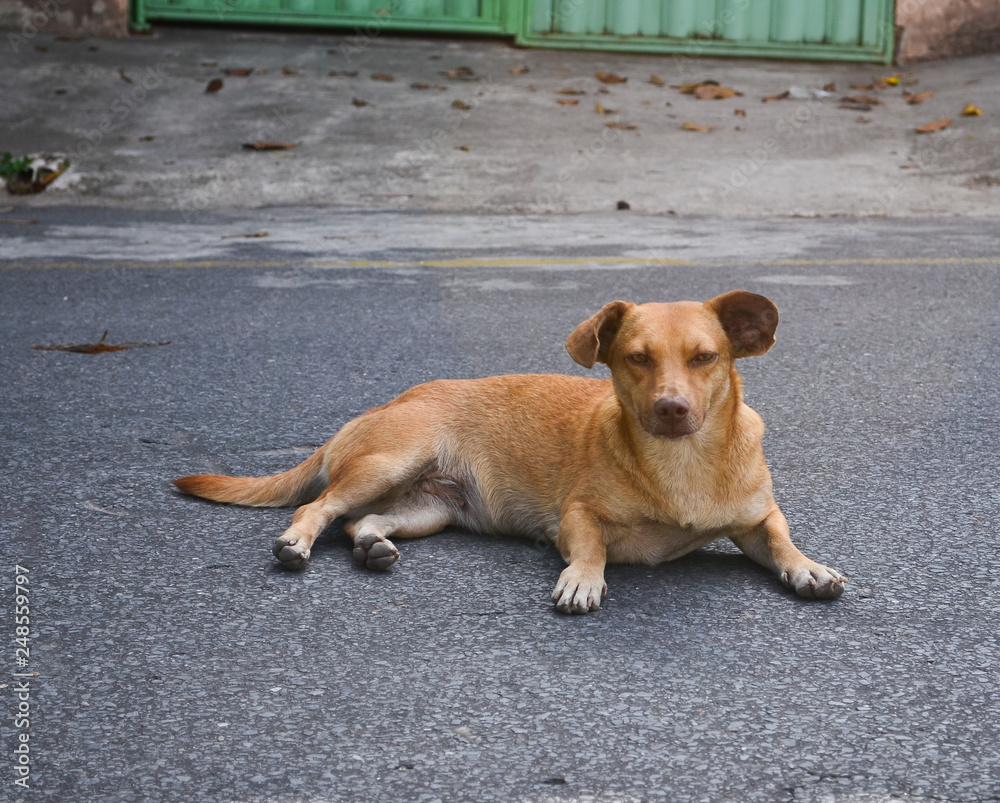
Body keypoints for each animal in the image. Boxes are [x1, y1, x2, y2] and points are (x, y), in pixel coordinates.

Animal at [172, 292, 844, 612]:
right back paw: (296, 541)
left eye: (706, 357)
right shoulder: (578, 516)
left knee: (361, 523)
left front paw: (807, 567)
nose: (672, 409)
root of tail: (382, 405)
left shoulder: (757, 520)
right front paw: (583, 579)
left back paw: (373, 548)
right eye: (636, 358)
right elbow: (593, 547)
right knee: (319, 507)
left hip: (429, 508)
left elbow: (781, 539)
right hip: (389, 463)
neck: (682, 465)